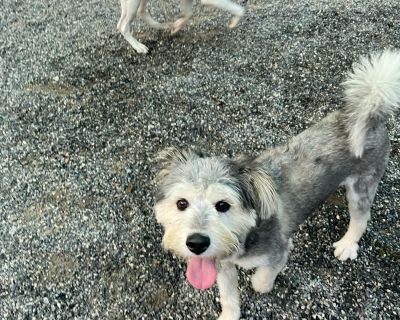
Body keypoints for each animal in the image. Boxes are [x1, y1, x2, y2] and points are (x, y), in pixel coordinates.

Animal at [117, 0, 245, 53]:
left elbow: (188, 14)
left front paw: (176, 26)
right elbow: (239, 9)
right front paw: (235, 20)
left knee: (136, 15)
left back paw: (162, 26)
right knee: (123, 26)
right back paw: (139, 47)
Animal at [153, 51, 400, 318]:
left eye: (223, 205)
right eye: (181, 203)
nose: (196, 243)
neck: (246, 236)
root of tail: (369, 112)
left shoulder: (278, 251)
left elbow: (263, 276)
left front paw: (261, 284)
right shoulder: (221, 263)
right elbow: (228, 296)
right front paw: (230, 313)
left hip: (362, 184)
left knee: (361, 217)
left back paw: (347, 244)